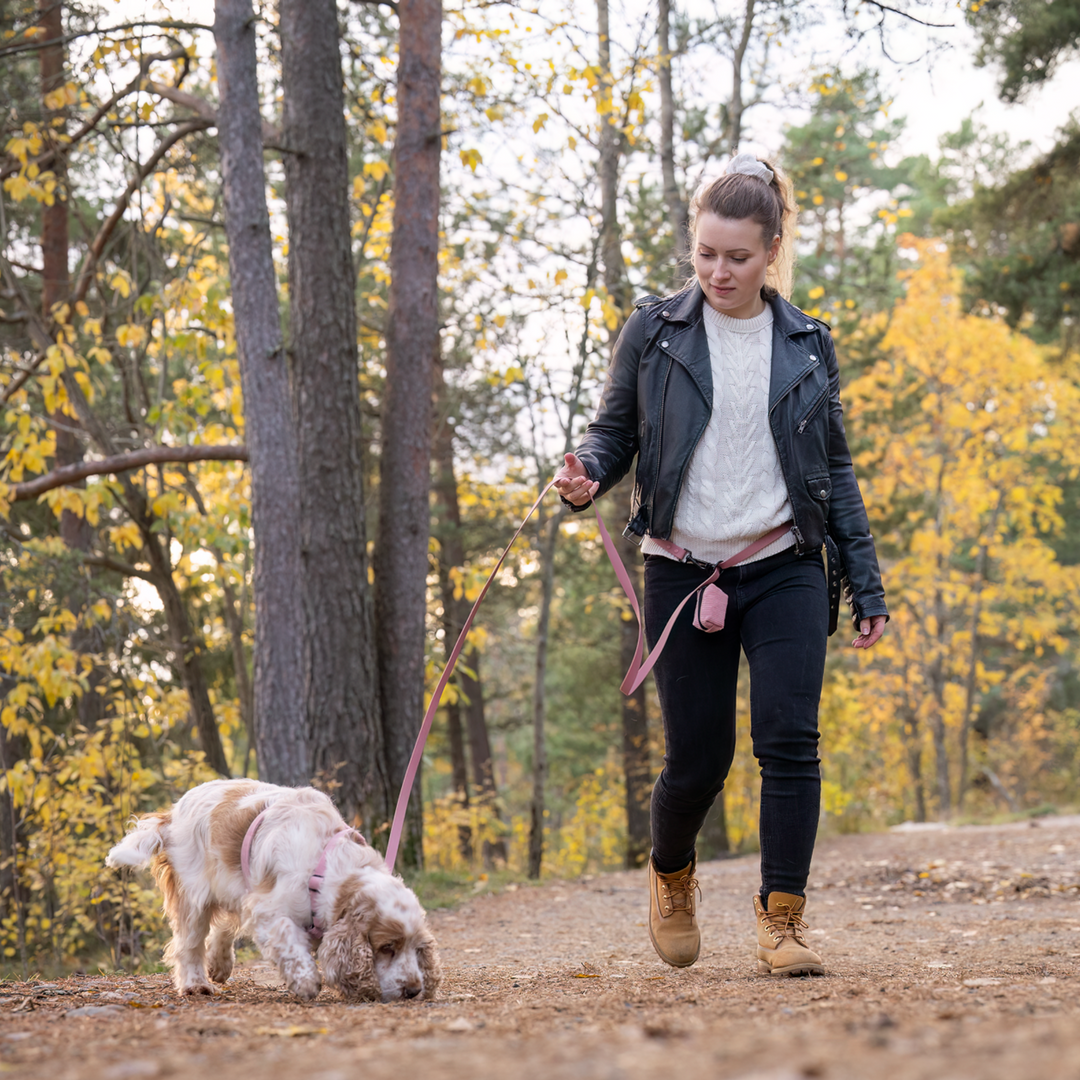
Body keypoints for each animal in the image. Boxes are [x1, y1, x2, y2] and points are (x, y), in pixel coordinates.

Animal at [102, 781, 438, 997]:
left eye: (417, 948)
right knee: (190, 943)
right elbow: (290, 943)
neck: (325, 867)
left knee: (224, 927)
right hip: (194, 897)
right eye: (387, 947)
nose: (413, 990)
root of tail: (170, 815)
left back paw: (220, 964)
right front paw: (305, 983)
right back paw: (196, 984)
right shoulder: (269, 911)